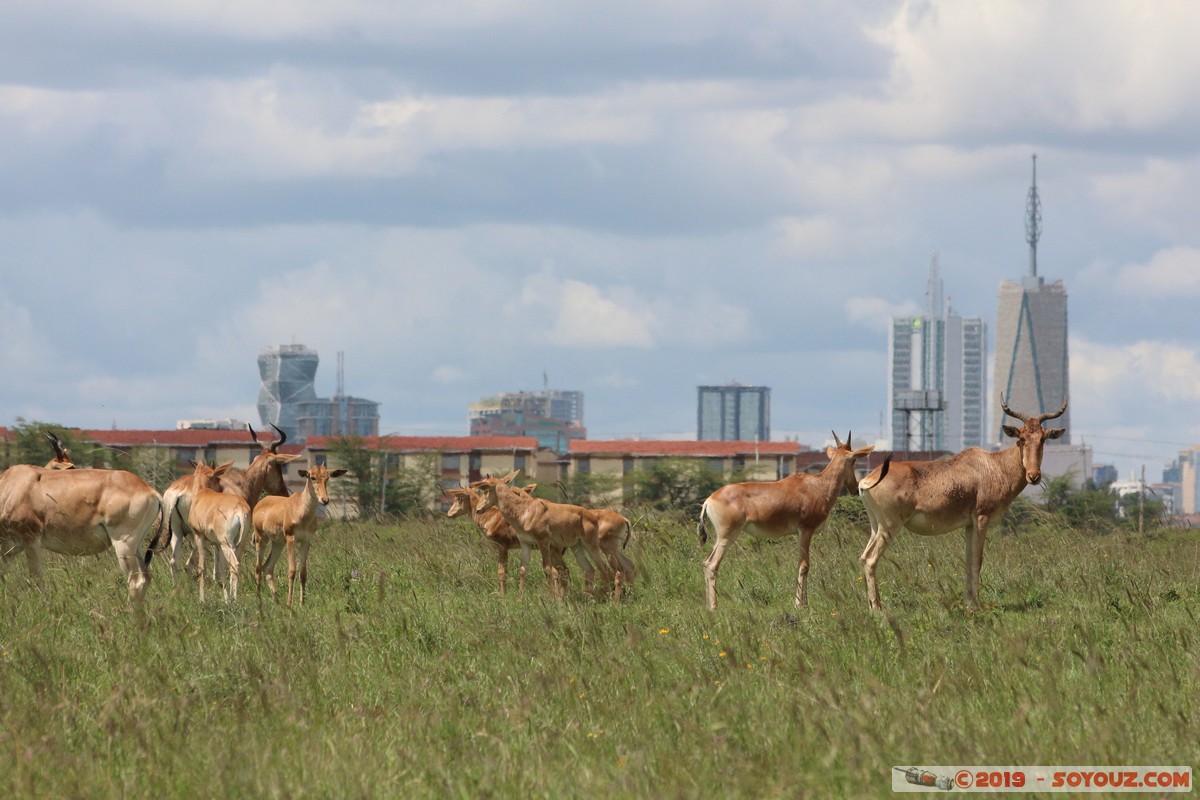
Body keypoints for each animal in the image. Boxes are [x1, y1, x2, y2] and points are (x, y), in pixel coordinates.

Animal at [0, 462, 163, 599]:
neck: (13, 484)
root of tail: (151, 491)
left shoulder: (31, 541)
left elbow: (37, 580)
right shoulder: (8, 551)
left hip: (123, 543)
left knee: (135, 582)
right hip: (137, 545)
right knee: (145, 578)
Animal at [184, 460, 250, 604]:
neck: (202, 493)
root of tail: (240, 508)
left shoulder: (199, 536)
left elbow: (201, 567)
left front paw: (202, 600)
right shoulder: (217, 543)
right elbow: (221, 568)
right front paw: (225, 599)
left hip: (226, 543)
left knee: (234, 563)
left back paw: (235, 599)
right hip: (238, 543)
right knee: (234, 564)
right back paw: (231, 599)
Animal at [253, 462, 348, 606]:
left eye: (327, 477)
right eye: (312, 477)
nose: (325, 500)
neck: (300, 509)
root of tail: (260, 503)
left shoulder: (306, 540)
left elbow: (303, 572)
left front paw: (302, 603)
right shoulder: (291, 538)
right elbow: (292, 570)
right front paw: (289, 603)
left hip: (278, 543)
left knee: (268, 568)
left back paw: (276, 602)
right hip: (261, 538)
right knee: (258, 568)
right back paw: (259, 601)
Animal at [696, 434, 873, 609]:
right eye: (853, 460)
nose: (854, 487)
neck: (817, 484)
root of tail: (709, 500)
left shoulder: (802, 533)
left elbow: (802, 564)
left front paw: (805, 603)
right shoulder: (805, 530)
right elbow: (804, 565)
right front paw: (799, 605)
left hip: (722, 537)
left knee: (705, 562)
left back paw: (707, 606)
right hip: (727, 536)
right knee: (712, 565)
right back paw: (714, 607)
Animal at [859, 398, 1065, 609]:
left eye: (1042, 438)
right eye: (1022, 438)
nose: (1033, 476)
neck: (993, 465)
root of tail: (869, 478)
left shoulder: (969, 525)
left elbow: (968, 560)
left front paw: (968, 601)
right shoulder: (982, 518)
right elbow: (977, 560)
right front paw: (976, 605)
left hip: (876, 526)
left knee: (864, 557)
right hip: (890, 526)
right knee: (870, 559)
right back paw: (877, 607)